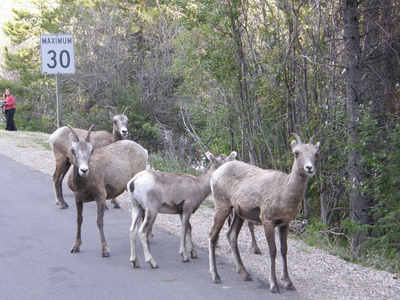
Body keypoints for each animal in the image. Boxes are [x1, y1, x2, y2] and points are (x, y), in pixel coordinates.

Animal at [67, 125, 148, 256]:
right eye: (73, 150)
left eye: (91, 150)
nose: (84, 170)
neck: (84, 183)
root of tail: (144, 151)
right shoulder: (78, 198)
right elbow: (79, 220)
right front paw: (76, 246)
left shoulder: (101, 197)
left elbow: (99, 222)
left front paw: (105, 250)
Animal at [209, 135, 318, 294]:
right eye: (296, 153)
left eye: (316, 154)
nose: (309, 168)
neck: (285, 191)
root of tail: (215, 174)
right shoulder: (268, 221)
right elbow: (273, 251)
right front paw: (274, 285)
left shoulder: (284, 224)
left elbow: (284, 251)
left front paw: (288, 283)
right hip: (223, 207)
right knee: (213, 236)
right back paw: (216, 277)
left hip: (239, 214)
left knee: (231, 236)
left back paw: (245, 274)